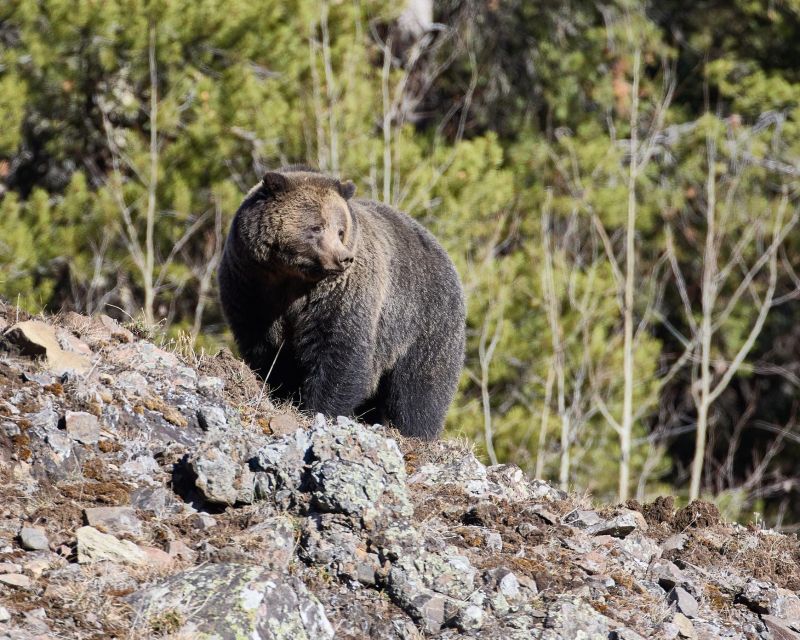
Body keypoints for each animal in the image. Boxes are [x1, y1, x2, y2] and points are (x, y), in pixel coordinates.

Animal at [219, 168, 466, 440]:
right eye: (316, 227)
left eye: (340, 230)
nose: (343, 258)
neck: (290, 276)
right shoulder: (251, 288)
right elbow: (265, 348)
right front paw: (277, 388)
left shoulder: (340, 295)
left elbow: (339, 349)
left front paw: (320, 408)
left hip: (425, 319)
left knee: (421, 385)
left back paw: (417, 431)